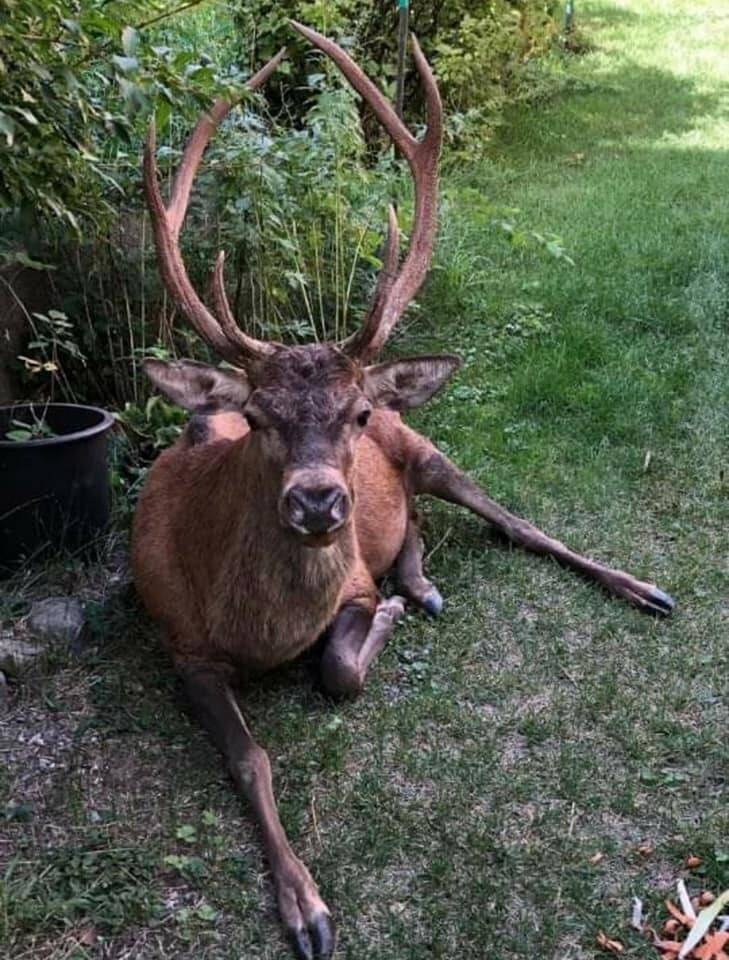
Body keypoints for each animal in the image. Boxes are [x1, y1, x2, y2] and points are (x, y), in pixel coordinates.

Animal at [131, 22, 675, 960]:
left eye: (350, 413)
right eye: (259, 416)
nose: (319, 502)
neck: (256, 628)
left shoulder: (346, 580)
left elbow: (339, 673)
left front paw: (381, 614)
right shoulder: (180, 643)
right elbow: (250, 758)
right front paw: (305, 907)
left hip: (428, 448)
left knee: (518, 524)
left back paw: (639, 588)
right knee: (419, 525)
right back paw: (421, 583)